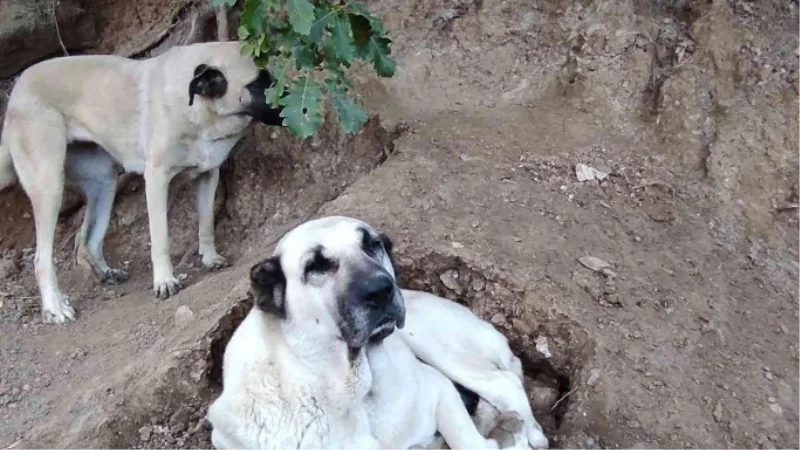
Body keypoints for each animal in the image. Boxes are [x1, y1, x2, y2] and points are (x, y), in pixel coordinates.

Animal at [0, 41, 284, 324]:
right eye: (258, 84)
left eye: (271, 77)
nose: (291, 105)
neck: (198, 111)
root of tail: (17, 90)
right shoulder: (157, 180)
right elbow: (160, 239)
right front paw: (164, 281)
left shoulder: (208, 175)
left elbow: (206, 224)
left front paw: (210, 258)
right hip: (50, 188)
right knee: (41, 260)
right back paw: (55, 308)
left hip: (104, 182)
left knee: (87, 240)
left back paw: (105, 273)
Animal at [206, 216, 552, 448]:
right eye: (316, 266)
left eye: (371, 244)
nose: (381, 290)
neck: (351, 392)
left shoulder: (438, 388)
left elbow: (467, 440)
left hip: (427, 341)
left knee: (502, 382)